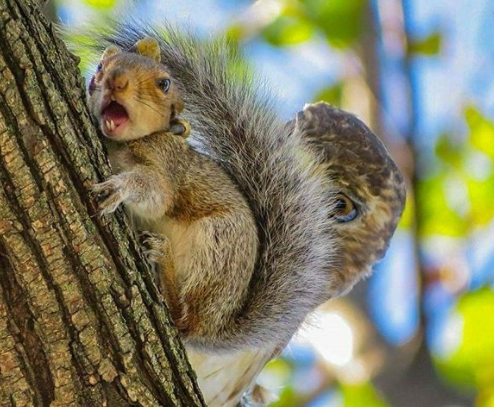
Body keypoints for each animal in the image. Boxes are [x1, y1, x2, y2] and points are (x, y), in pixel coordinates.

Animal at [79, 22, 406, 407]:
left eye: (340, 207)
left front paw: (119, 188)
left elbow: (154, 192)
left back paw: (164, 263)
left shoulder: (168, 169)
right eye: (101, 69)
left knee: (185, 319)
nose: (113, 80)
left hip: (218, 245)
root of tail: (219, 324)